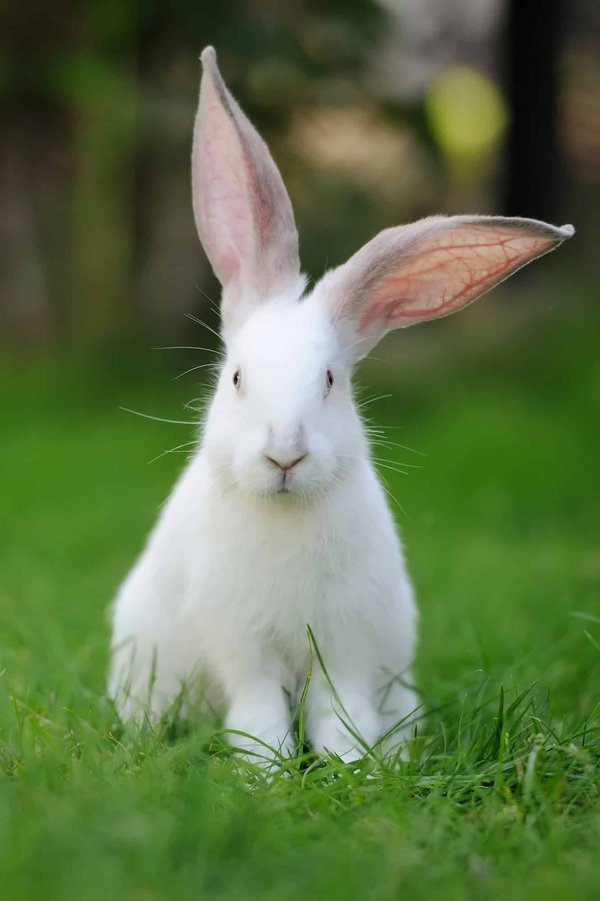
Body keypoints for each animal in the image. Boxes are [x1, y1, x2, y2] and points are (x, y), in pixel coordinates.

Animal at [108, 46, 574, 764]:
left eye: (330, 381)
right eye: (236, 378)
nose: (285, 455)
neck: (285, 514)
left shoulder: (348, 647)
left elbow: (340, 712)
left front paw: (356, 766)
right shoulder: (242, 647)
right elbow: (260, 712)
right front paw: (266, 771)